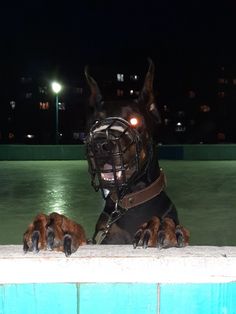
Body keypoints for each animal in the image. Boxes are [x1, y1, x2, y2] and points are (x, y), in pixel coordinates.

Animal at [24, 59, 189, 255]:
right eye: (95, 121)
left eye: (134, 120)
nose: (100, 144)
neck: (128, 202)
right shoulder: (103, 239)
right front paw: (55, 225)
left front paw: (160, 227)